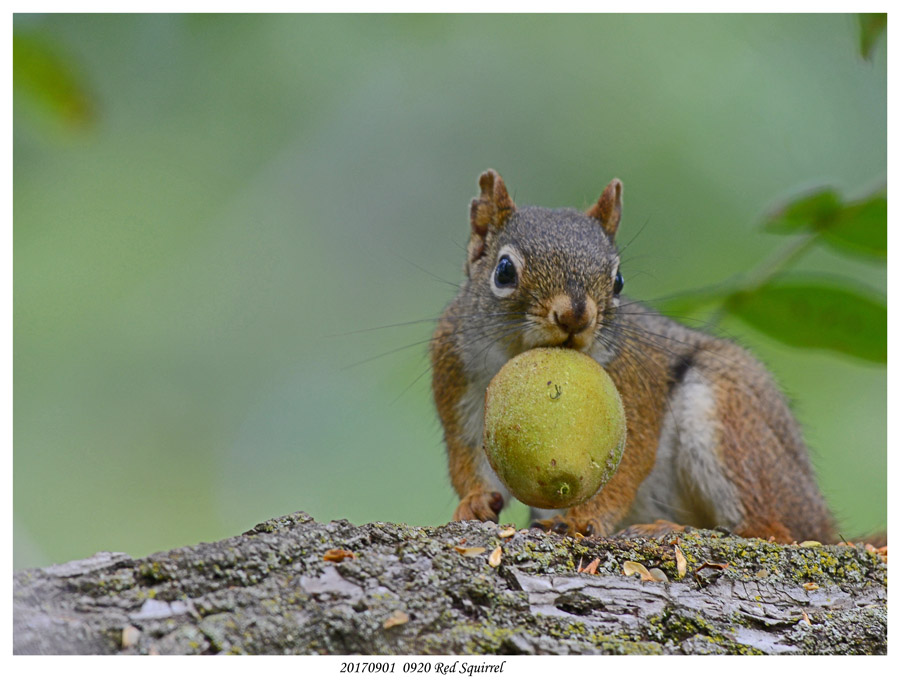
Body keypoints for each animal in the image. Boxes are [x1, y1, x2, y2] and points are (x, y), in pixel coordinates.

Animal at [428, 167, 836, 544]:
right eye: (504, 271)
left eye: (618, 280)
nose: (576, 315)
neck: (517, 352)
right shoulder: (454, 374)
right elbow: (467, 455)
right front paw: (474, 501)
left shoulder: (638, 379)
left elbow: (627, 464)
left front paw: (580, 521)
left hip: (734, 417)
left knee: (772, 529)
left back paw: (671, 528)